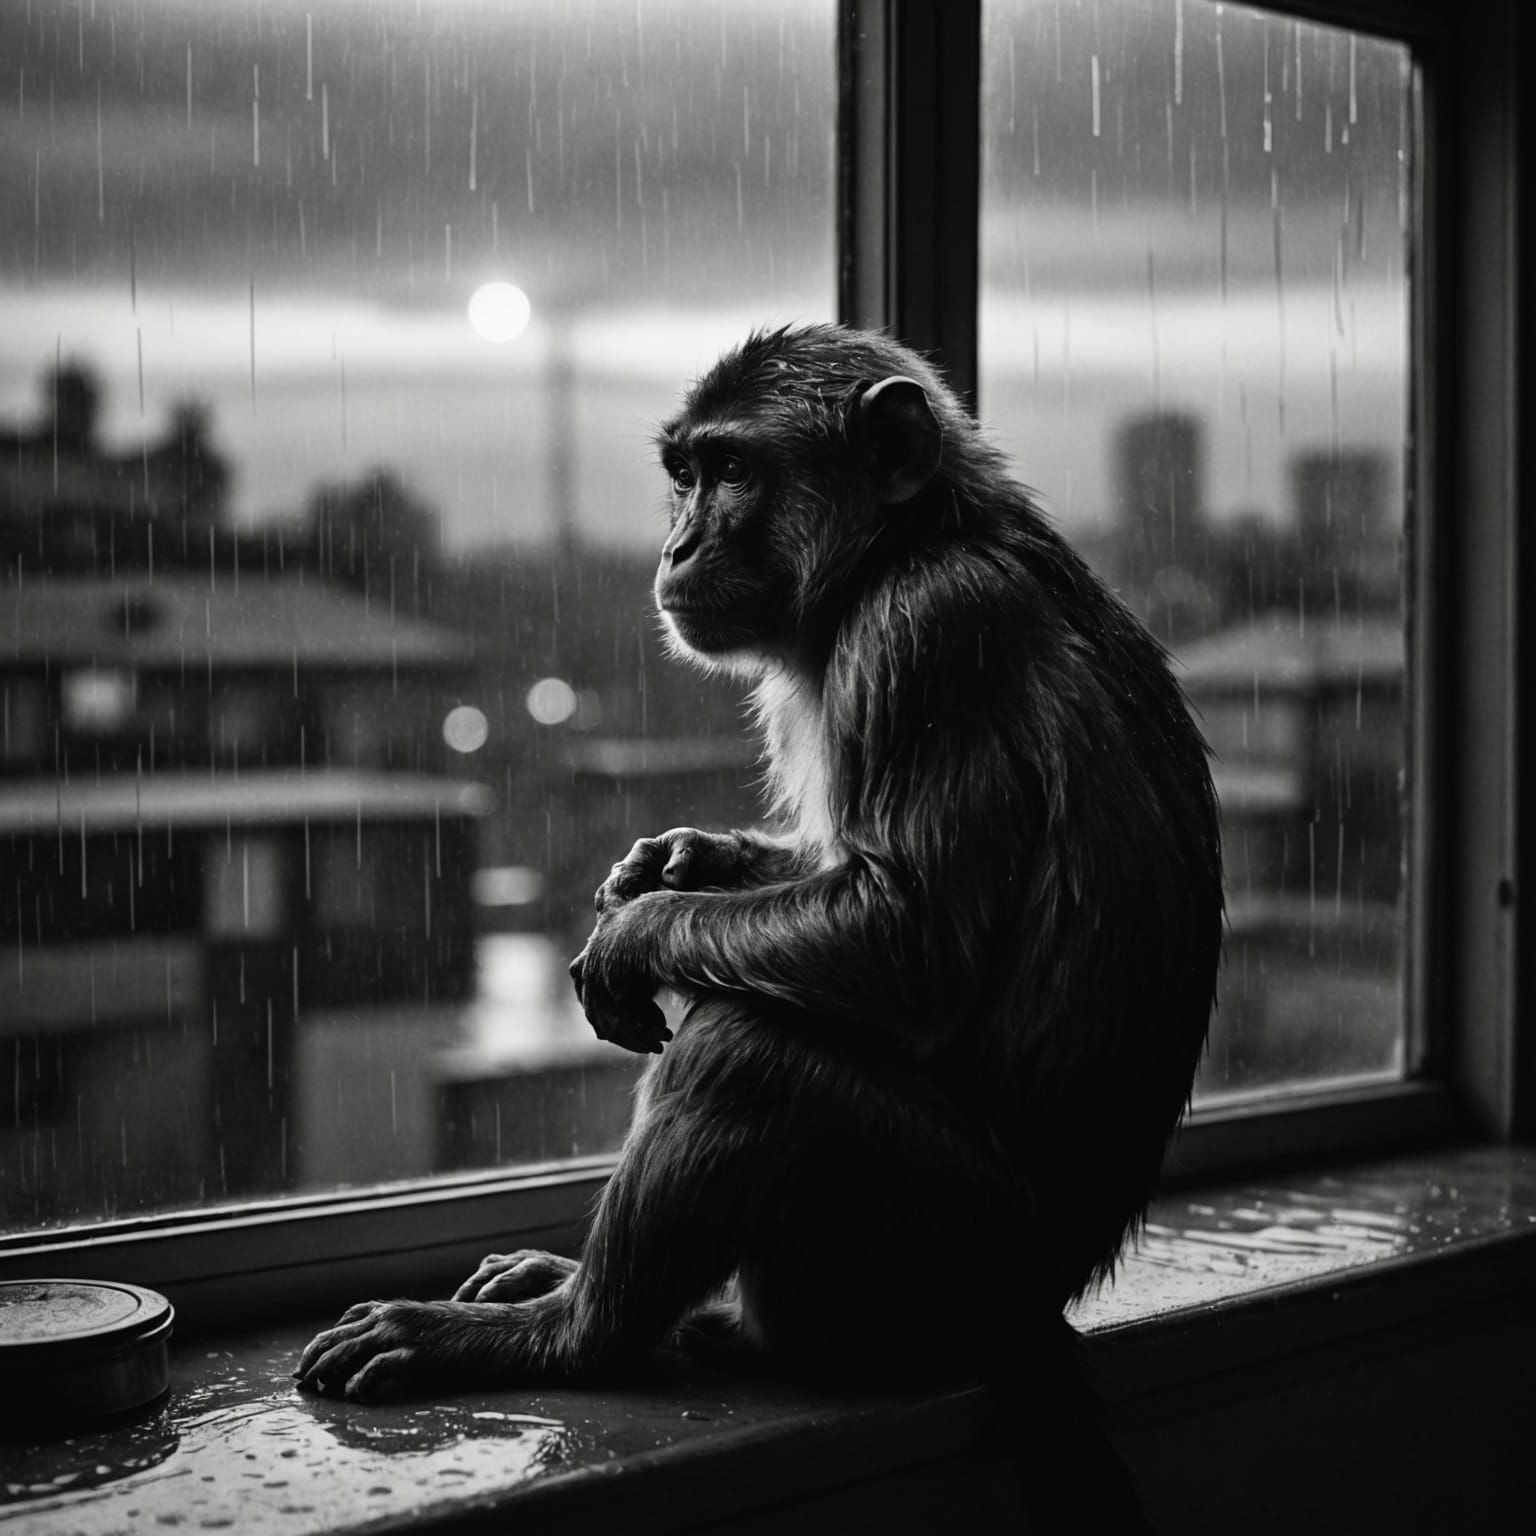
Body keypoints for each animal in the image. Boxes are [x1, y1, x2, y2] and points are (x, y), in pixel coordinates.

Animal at [296, 324, 1222, 1527]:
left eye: (734, 471)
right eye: (686, 473)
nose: (679, 540)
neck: (903, 545)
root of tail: (1025, 1316)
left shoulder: (926, 634)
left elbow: (901, 939)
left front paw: (640, 928)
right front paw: (678, 865)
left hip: (919, 1263)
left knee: (751, 1049)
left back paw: (571, 1335)